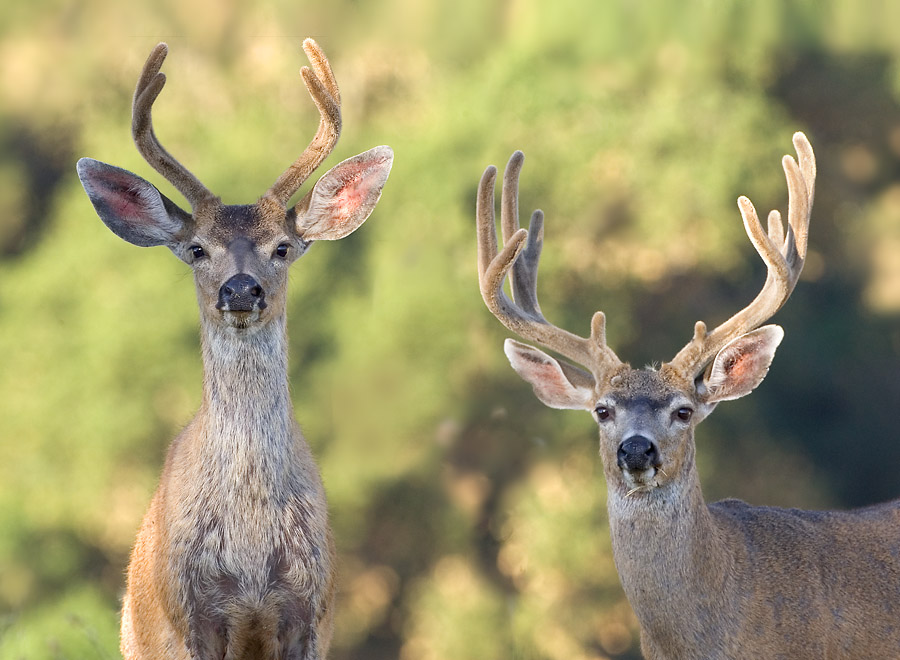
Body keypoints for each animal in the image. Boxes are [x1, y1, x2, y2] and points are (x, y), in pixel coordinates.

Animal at [74, 41, 390, 660]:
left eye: (283, 247)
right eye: (198, 249)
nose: (241, 289)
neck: (248, 542)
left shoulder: (311, 608)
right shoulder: (190, 612)